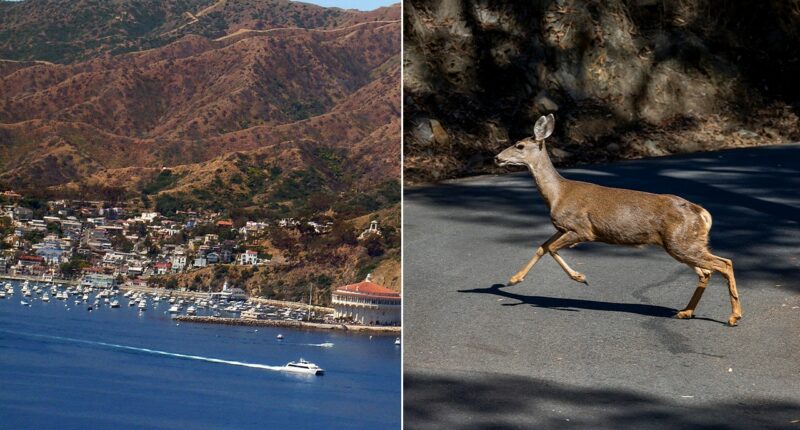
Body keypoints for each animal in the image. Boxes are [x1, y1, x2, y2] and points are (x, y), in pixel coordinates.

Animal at [494, 114, 742, 326]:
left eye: (519, 146)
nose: (497, 157)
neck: (557, 194)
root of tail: (701, 212)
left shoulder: (582, 229)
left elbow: (552, 248)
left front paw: (580, 277)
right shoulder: (562, 227)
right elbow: (543, 247)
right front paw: (514, 279)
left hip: (680, 242)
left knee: (724, 263)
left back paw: (733, 317)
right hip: (683, 243)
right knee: (707, 271)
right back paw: (685, 312)